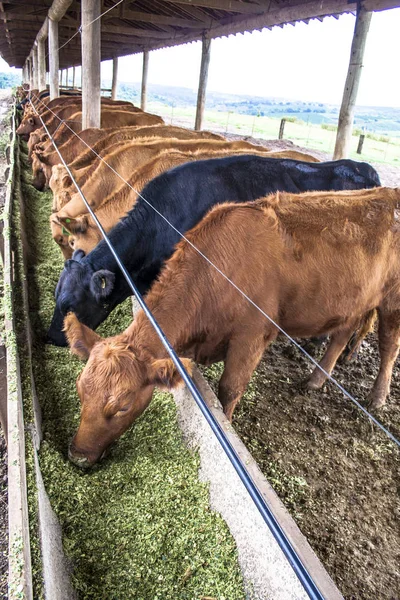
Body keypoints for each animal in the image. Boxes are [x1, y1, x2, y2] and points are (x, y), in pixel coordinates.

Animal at [63, 185, 400, 466]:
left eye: (122, 406)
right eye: (79, 389)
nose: (77, 456)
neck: (215, 272)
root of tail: (389, 192)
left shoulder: (252, 337)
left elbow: (230, 388)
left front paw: (226, 425)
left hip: (392, 302)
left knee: (388, 346)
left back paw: (377, 397)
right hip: (354, 300)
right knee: (342, 334)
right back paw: (316, 379)